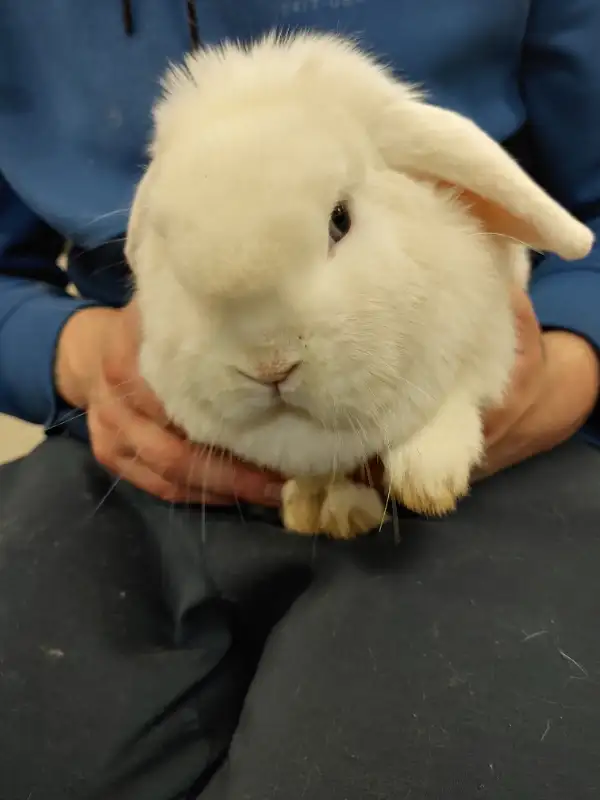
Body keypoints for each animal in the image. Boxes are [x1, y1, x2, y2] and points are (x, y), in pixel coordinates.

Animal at [125, 32, 594, 539]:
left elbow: (459, 393)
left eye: (340, 219)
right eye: (169, 249)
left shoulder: (490, 335)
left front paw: (428, 480)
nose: (270, 367)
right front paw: (318, 508)